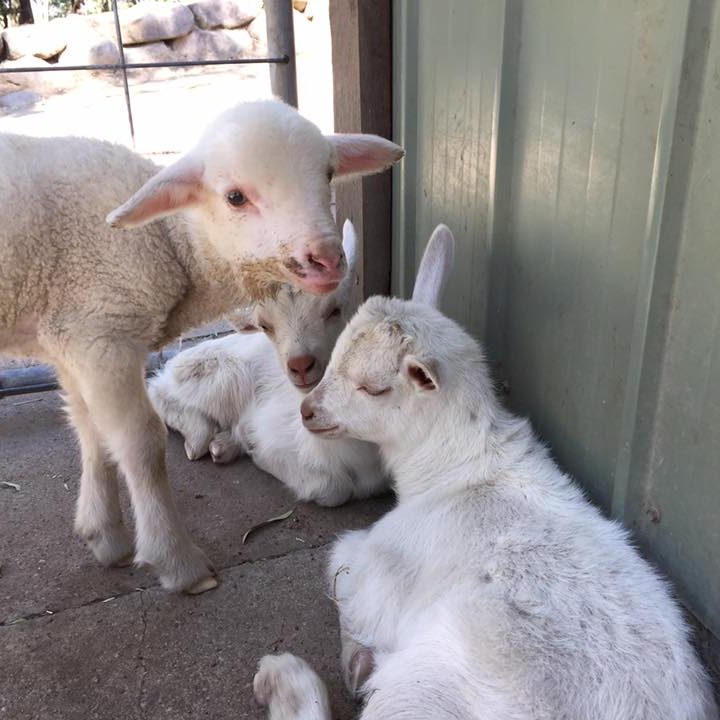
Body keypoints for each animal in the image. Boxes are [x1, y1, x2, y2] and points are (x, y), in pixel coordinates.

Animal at [0, 102, 404, 596]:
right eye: (235, 197)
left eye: (328, 172)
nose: (326, 259)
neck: (170, 241)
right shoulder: (103, 329)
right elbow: (140, 445)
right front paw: (175, 560)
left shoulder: (70, 334)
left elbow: (90, 430)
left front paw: (104, 535)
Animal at [252, 222, 716, 716]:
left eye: (373, 388)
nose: (308, 410)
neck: (460, 468)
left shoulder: (380, 563)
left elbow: (339, 562)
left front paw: (356, 659)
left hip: (424, 685)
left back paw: (284, 678)